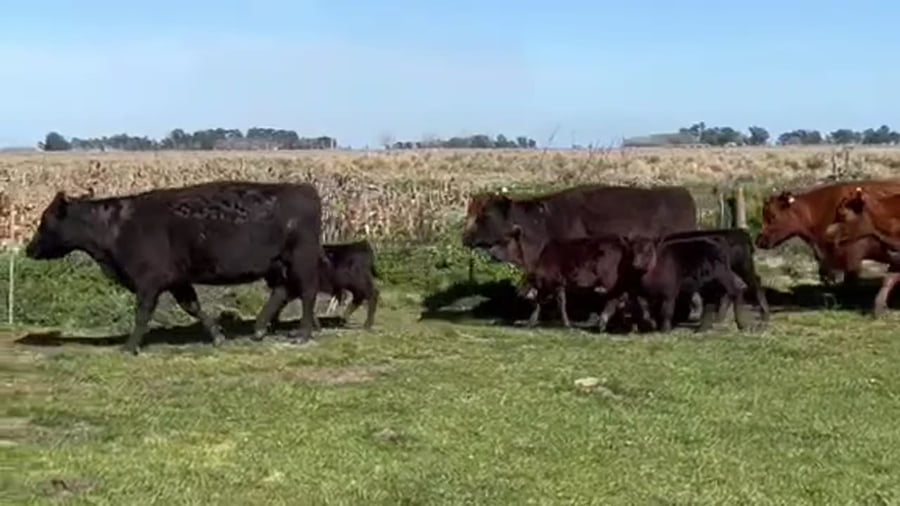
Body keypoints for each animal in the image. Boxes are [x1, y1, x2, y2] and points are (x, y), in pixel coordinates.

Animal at [23, 181, 323, 355]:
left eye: (45, 219)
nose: (28, 249)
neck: (117, 226)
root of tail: (305, 189)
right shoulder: (178, 280)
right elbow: (193, 307)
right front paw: (217, 336)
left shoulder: (149, 282)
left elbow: (142, 314)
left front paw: (129, 347)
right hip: (278, 265)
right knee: (281, 292)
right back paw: (259, 330)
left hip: (302, 259)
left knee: (308, 292)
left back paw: (303, 334)